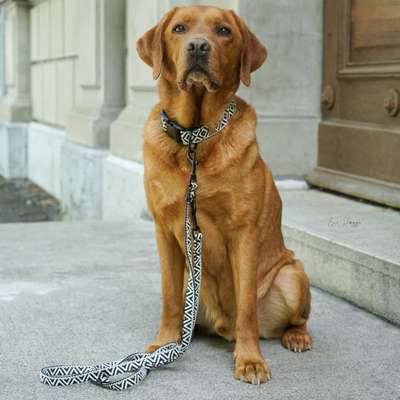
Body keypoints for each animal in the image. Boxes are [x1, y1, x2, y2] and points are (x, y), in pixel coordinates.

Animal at [138, 3, 312, 384]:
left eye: (223, 31)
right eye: (179, 28)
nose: (198, 47)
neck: (195, 138)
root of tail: (221, 327)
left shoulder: (242, 233)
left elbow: (247, 308)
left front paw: (250, 360)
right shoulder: (164, 230)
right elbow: (169, 298)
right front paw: (164, 343)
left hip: (293, 275)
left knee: (293, 319)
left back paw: (296, 337)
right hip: (192, 282)